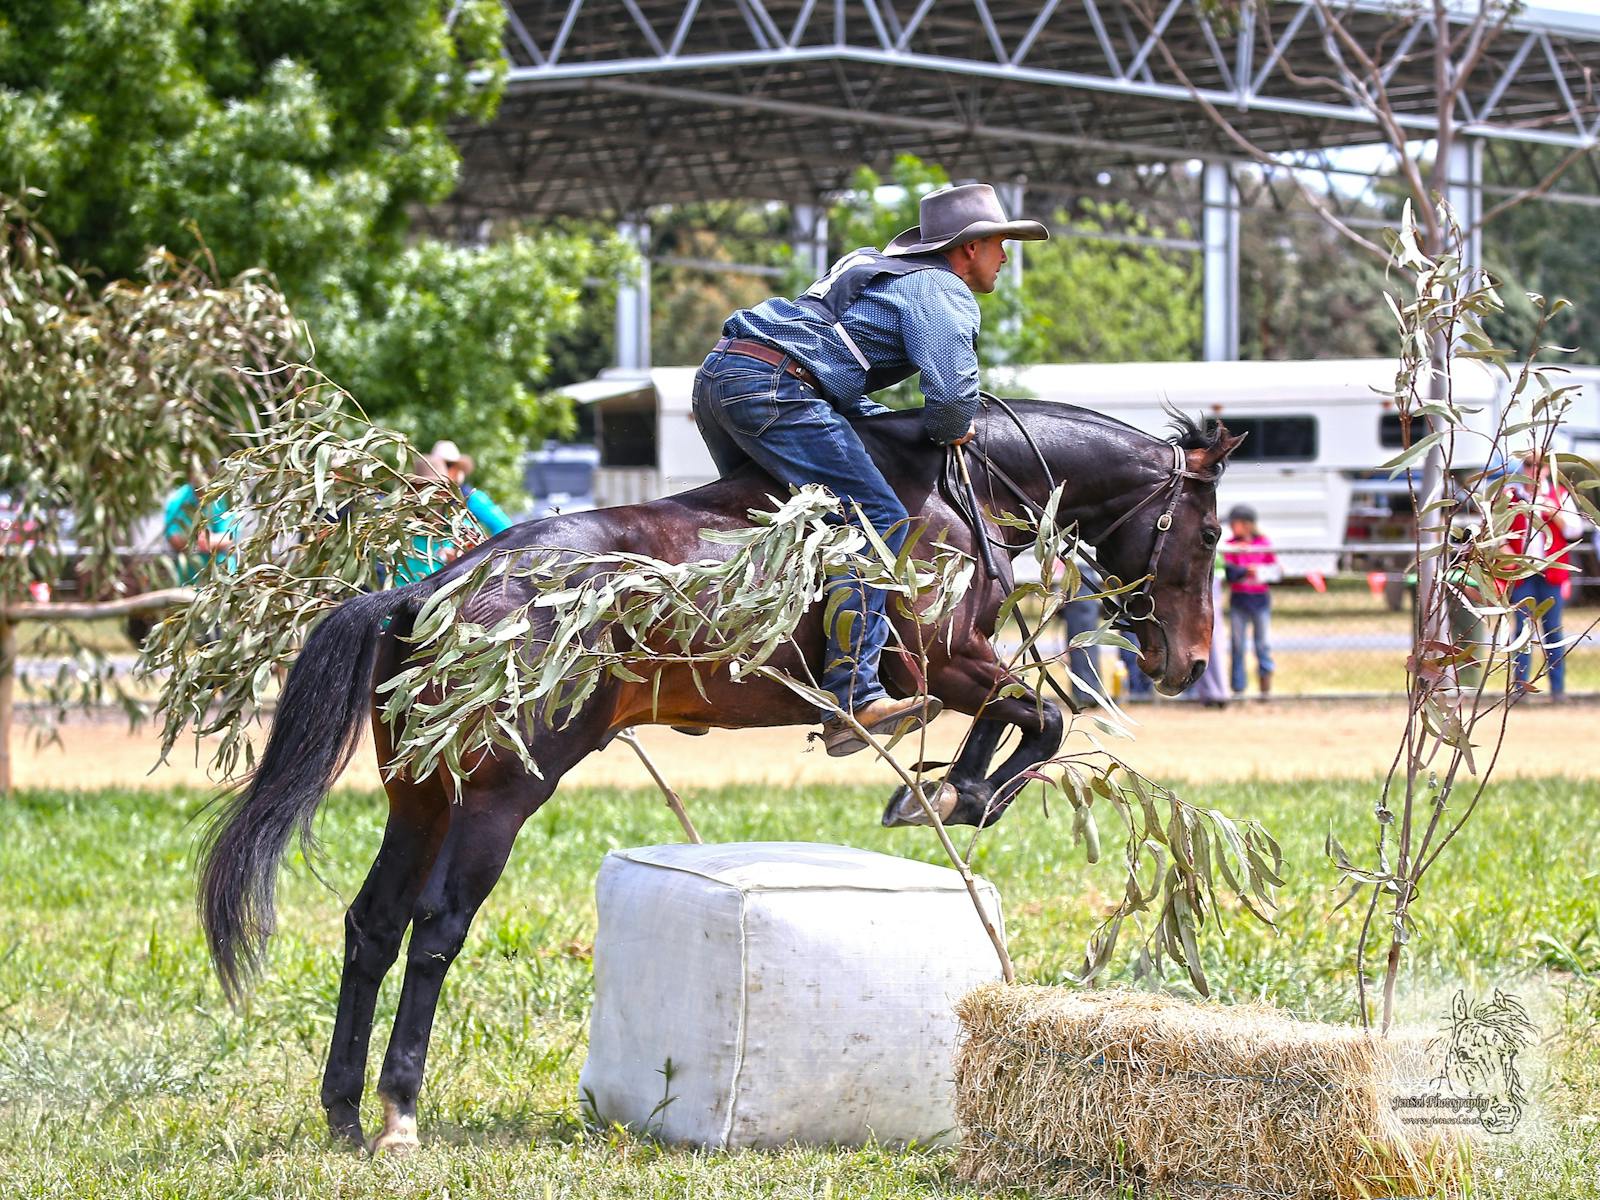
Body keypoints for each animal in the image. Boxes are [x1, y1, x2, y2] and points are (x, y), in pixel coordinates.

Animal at [200, 401, 1241, 1158]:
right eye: (1211, 535)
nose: (1189, 662)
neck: (962, 487)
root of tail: (428, 589)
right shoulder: (946, 660)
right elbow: (1044, 713)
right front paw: (959, 789)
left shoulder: (957, 669)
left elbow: (1023, 717)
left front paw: (943, 788)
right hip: (498, 795)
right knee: (437, 927)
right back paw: (401, 1114)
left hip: (419, 793)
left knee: (373, 924)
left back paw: (344, 1113)